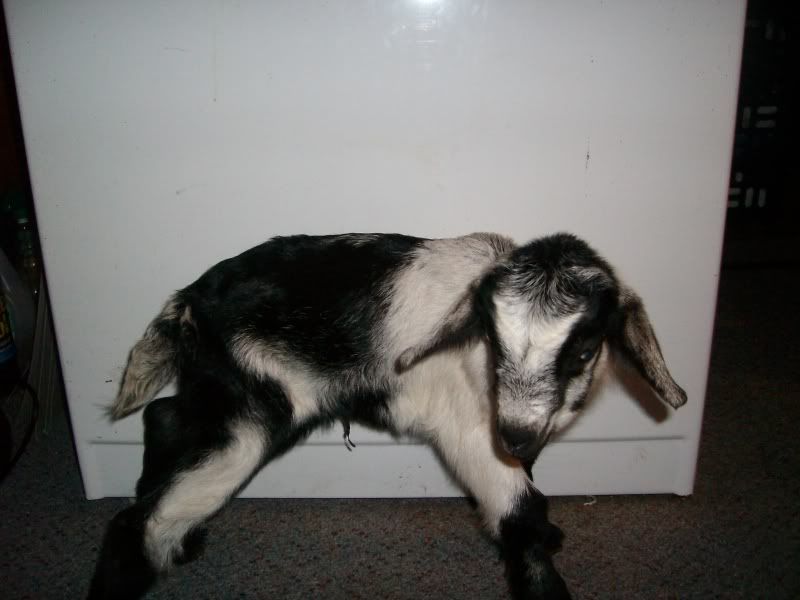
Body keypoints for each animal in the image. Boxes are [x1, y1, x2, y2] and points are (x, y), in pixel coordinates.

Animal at [88, 232, 686, 600]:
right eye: (494, 342)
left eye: (584, 351)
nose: (516, 435)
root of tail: (187, 301)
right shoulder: (470, 428)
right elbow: (520, 513)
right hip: (248, 409)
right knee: (139, 517)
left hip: (221, 387)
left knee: (164, 415)